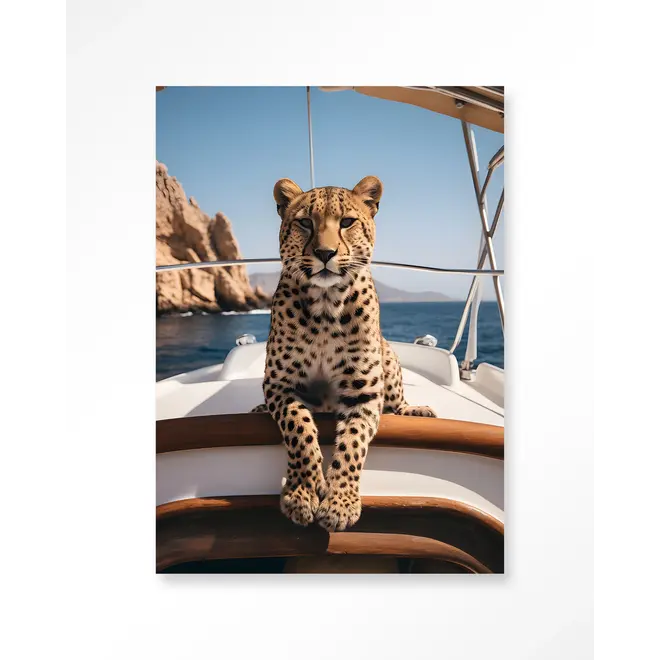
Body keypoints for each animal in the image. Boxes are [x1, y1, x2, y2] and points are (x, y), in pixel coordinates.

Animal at [251, 176, 437, 532]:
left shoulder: (364, 393)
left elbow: (352, 444)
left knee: (397, 402)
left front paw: (340, 503)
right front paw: (303, 492)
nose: (325, 253)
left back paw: (415, 411)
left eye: (347, 222)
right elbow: (299, 428)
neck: (326, 306)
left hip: (389, 357)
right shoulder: (280, 384)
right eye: (305, 223)